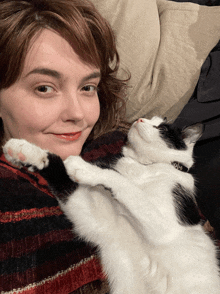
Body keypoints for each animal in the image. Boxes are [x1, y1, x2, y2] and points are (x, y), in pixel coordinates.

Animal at [3, 116, 220, 292]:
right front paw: (26, 152)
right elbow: (60, 173)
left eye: (163, 128)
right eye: (150, 118)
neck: (143, 166)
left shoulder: (164, 228)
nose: (140, 119)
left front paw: (86, 168)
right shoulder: (104, 225)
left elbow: (126, 185)